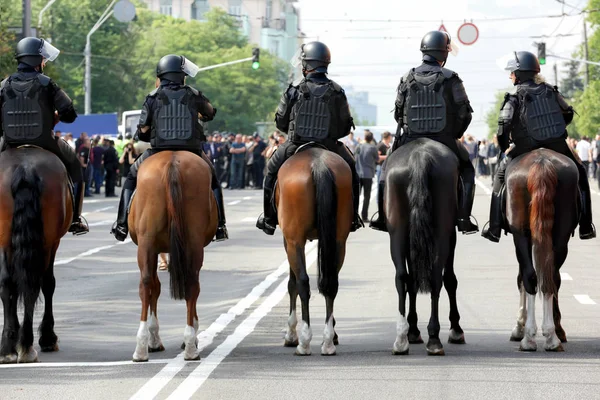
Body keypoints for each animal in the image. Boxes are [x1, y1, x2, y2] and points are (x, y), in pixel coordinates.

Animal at [0, 148, 72, 364]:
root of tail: (25, 169)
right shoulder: (53, 243)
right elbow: (48, 284)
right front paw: (47, 337)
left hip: (5, 239)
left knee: (9, 283)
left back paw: (9, 348)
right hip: (47, 242)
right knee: (36, 284)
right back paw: (27, 345)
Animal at [129, 151, 218, 362]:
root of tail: (172, 162)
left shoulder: (153, 248)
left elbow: (156, 287)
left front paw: (154, 339)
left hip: (148, 243)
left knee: (147, 283)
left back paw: (144, 347)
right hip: (190, 242)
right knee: (190, 283)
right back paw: (189, 345)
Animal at [278, 147, 354, 356]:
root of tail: (319, 164)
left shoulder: (290, 241)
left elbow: (292, 284)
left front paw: (291, 335)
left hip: (295, 240)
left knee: (303, 282)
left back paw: (304, 342)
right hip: (339, 241)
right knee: (332, 283)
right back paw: (328, 341)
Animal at [382, 138, 466, 356]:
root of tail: (419, 156)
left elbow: (412, 280)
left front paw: (412, 330)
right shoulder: (451, 235)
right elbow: (450, 279)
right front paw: (455, 329)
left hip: (398, 232)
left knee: (402, 276)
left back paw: (402, 339)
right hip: (442, 233)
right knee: (437, 276)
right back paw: (434, 337)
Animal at [504, 148, 580, 352]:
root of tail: (542, 162)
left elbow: (521, 278)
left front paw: (519, 327)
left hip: (521, 233)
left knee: (532, 276)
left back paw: (530, 337)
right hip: (560, 234)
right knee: (549, 277)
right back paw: (551, 337)